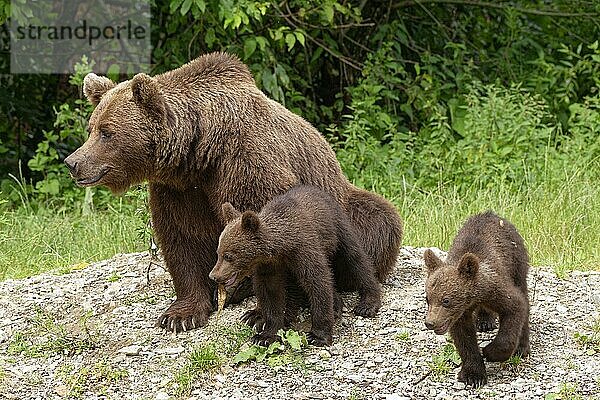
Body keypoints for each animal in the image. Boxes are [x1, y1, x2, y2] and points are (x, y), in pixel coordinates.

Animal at [64, 51, 404, 332]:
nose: (73, 163)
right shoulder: (178, 189)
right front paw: (180, 315)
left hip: (345, 203)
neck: (201, 151)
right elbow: (182, 238)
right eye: (91, 128)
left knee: (378, 222)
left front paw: (263, 313)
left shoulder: (247, 164)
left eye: (107, 132)